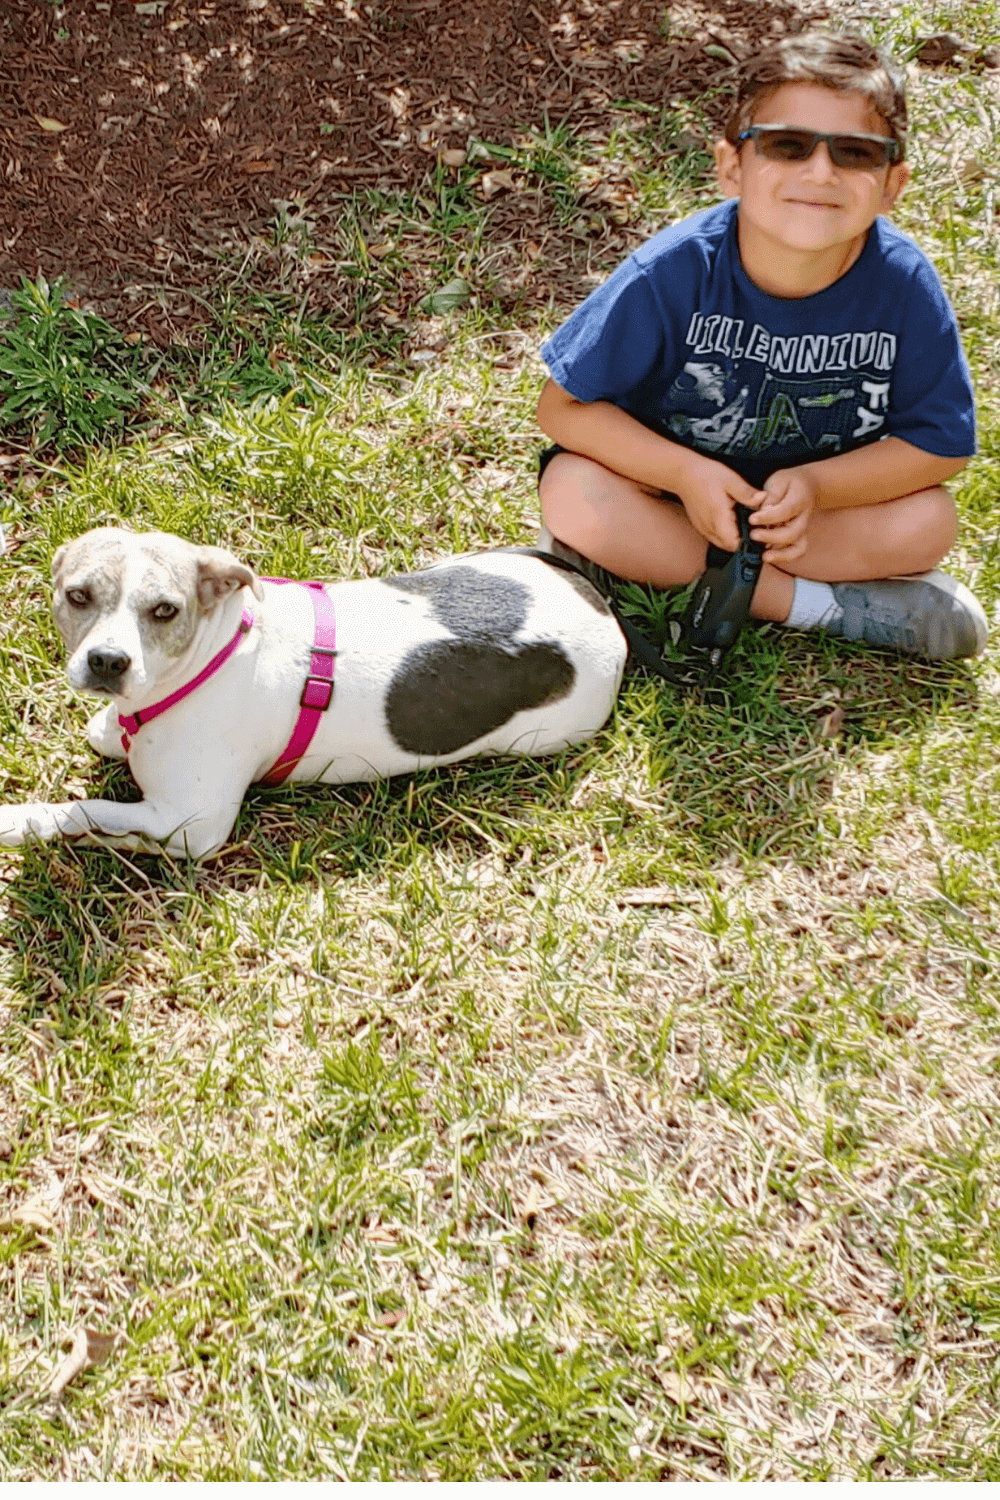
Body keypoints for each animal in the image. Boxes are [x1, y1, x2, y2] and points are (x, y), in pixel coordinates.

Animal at [0, 528, 626, 858]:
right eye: (78, 596)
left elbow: (89, 812)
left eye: (165, 610)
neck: (213, 654)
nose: (108, 661)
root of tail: (601, 609)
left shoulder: (192, 825)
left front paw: (24, 822)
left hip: (542, 735)